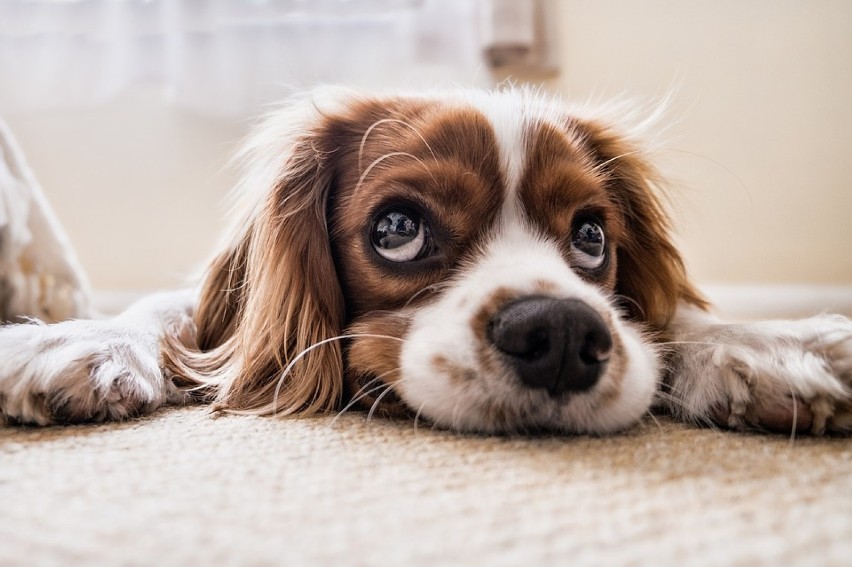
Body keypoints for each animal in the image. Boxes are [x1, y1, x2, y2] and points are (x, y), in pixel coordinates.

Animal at [1, 87, 852, 434]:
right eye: (398, 228)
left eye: (591, 237)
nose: (561, 334)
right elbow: (173, 313)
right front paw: (74, 340)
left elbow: (674, 319)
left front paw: (770, 345)